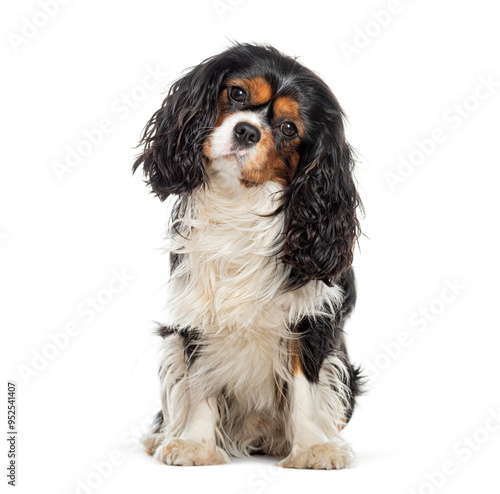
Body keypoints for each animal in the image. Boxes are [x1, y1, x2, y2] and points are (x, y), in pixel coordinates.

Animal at [133, 43, 362, 470]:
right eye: (237, 94)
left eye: (289, 129)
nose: (247, 130)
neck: (239, 201)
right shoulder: (198, 309)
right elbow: (200, 380)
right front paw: (193, 444)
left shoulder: (310, 318)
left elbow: (304, 388)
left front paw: (313, 448)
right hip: (171, 345)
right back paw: (162, 436)